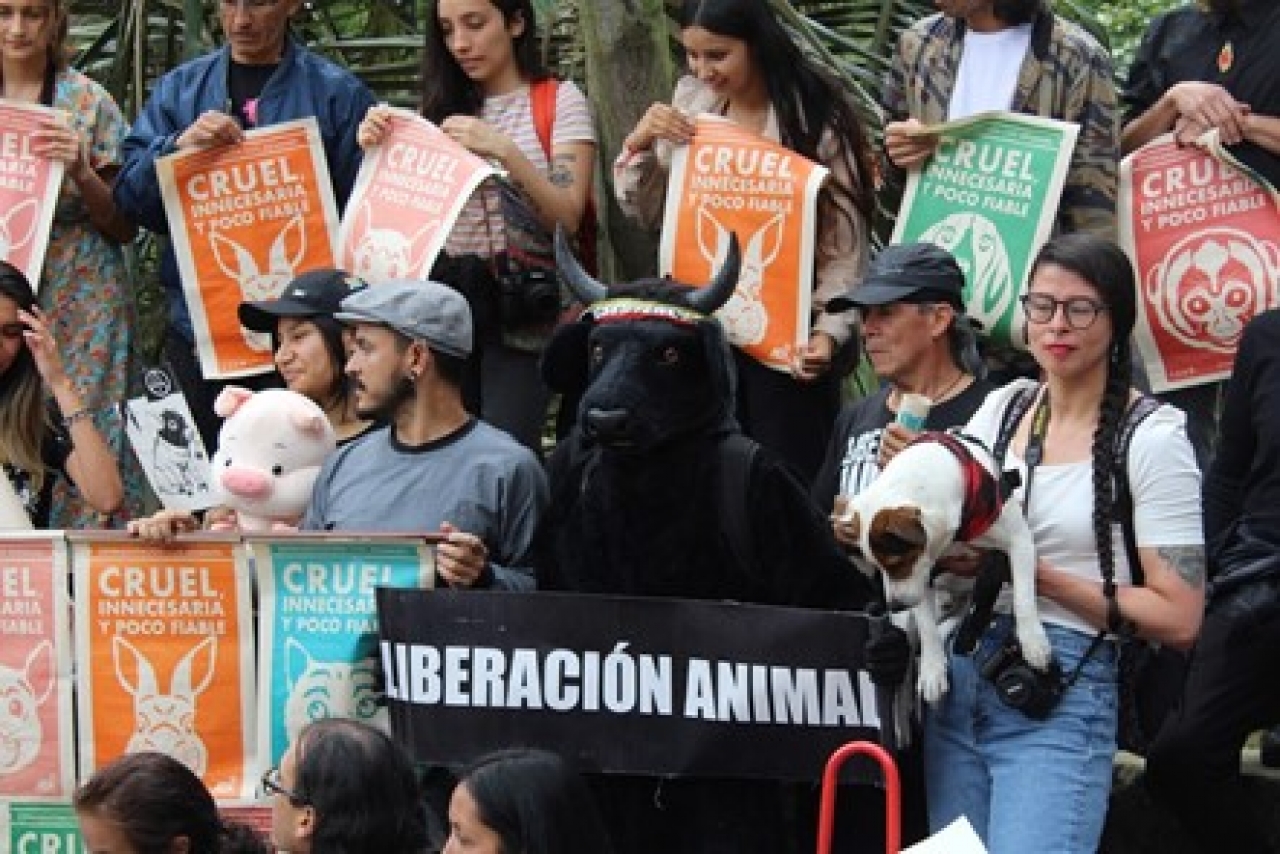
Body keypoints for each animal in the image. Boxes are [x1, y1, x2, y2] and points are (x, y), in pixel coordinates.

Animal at [839, 430, 1049, 706]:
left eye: (897, 562)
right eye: (875, 567)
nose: (894, 605)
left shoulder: (1019, 540)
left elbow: (1023, 598)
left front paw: (1032, 641)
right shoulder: (925, 577)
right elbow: (927, 627)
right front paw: (931, 669)